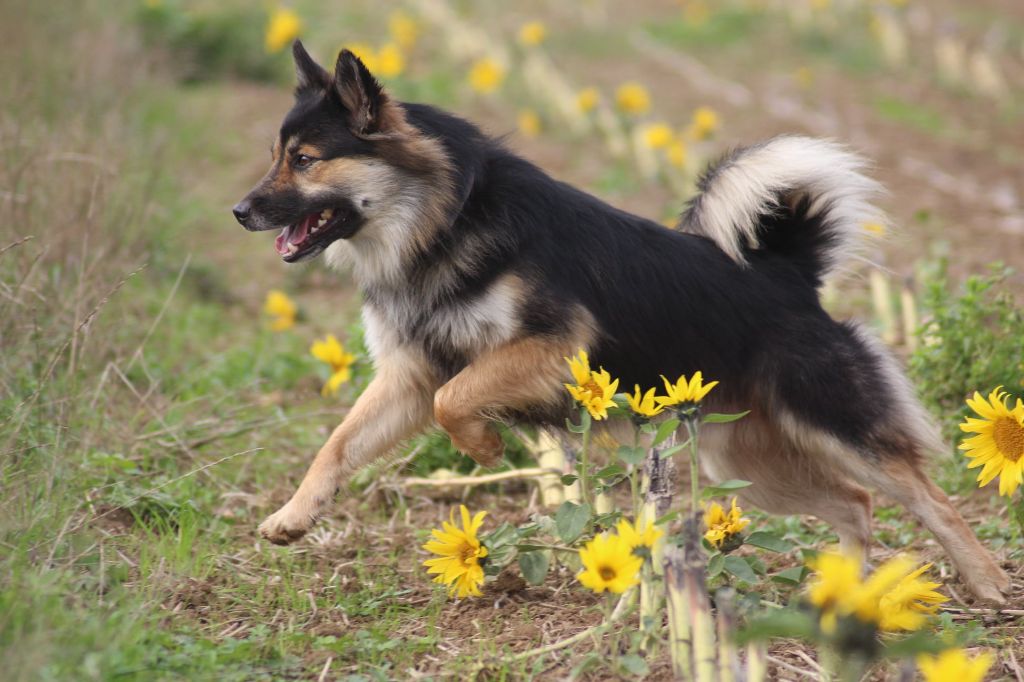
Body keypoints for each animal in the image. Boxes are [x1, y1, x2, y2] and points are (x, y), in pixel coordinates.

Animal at [235, 41, 1011, 602]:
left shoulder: (551, 346)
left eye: (304, 160)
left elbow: (458, 399)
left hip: (831, 424)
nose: (240, 212)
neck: (437, 221)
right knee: (856, 504)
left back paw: (988, 583)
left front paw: (485, 449)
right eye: (275, 156)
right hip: (748, 460)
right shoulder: (408, 374)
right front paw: (292, 517)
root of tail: (790, 276)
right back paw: (839, 591)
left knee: (926, 497)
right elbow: (339, 445)